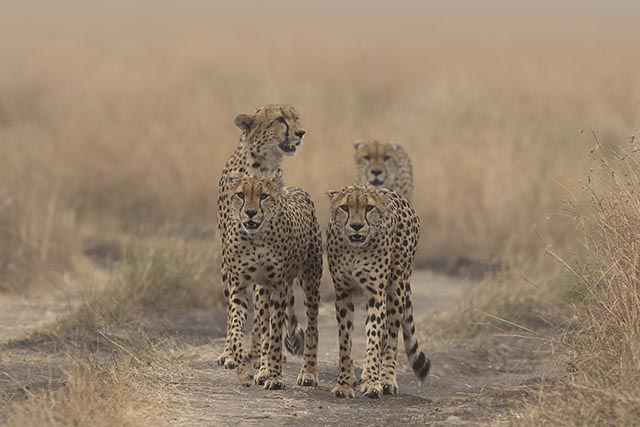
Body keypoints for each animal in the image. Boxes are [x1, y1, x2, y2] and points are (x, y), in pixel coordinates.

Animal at [217, 104, 307, 369]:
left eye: (296, 118)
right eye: (280, 119)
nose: (301, 133)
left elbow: (262, 309)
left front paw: (261, 353)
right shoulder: (233, 261)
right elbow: (235, 311)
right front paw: (231, 353)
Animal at [224, 172, 322, 390]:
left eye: (263, 196)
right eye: (241, 194)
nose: (250, 213)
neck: (255, 239)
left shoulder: (279, 286)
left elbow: (276, 334)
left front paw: (275, 377)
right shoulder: (239, 287)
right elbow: (236, 330)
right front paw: (245, 371)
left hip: (310, 282)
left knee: (312, 327)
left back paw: (308, 373)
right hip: (262, 292)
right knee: (263, 327)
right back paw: (262, 370)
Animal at [325, 185, 430, 398]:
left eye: (369, 208)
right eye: (345, 207)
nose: (357, 226)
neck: (354, 250)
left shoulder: (376, 294)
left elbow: (374, 336)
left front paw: (372, 381)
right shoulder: (342, 294)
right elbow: (345, 341)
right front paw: (344, 383)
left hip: (396, 288)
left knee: (391, 336)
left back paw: (387, 379)